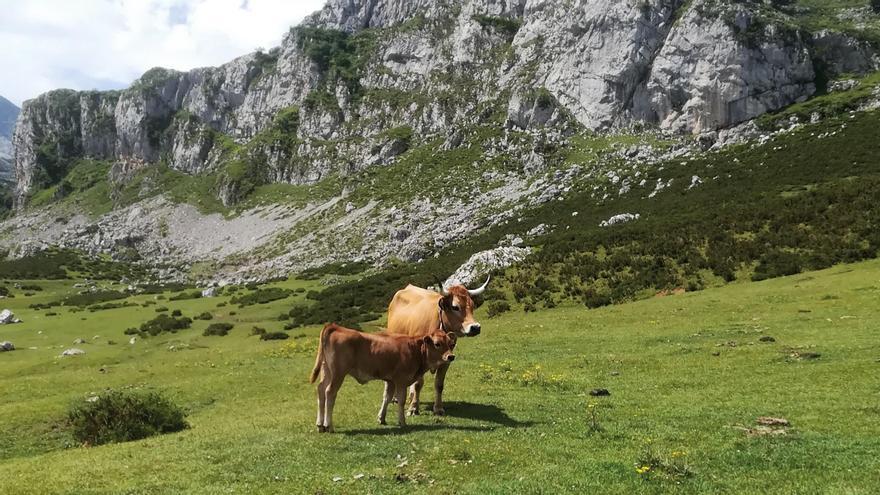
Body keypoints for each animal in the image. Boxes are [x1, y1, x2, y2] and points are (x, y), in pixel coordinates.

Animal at [310, 324, 458, 432]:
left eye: (450, 344)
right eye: (437, 344)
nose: (451, 356)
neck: (415, 350)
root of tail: (335, 326)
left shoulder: (390, 380)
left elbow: (387, 398)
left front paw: (381, 418)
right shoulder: (401, 380)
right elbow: (401, 401)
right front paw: (402, 422)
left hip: (326, 370)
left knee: (321, 390)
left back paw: (320, 425)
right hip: (338, 373)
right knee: (330, 392)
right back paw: (329, 425)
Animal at [386, 278, 492, 416]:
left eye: (473, 305)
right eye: (455, 307)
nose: (475, 327)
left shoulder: (447, 360)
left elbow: (439, 385)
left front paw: (438, 408)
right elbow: (418, 384)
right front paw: (413, 408)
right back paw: (396, 398)